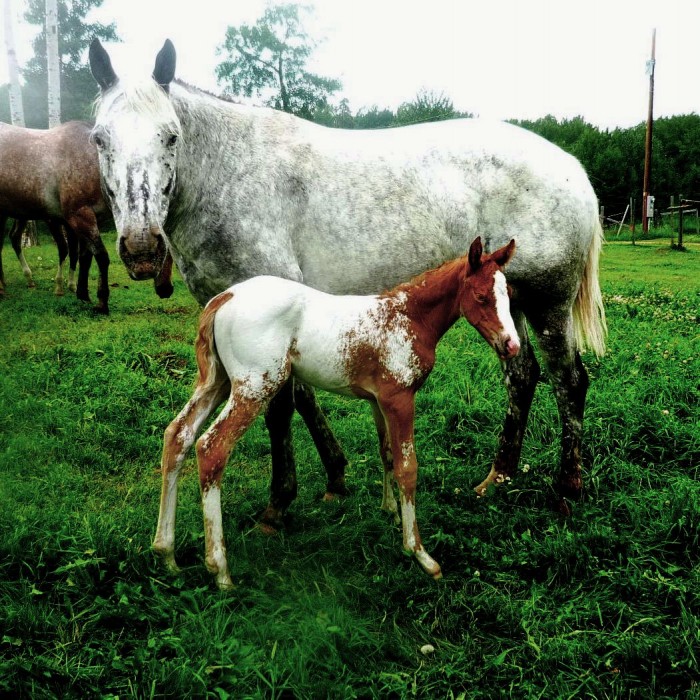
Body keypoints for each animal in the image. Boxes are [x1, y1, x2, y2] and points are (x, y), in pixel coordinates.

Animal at [0, 120, 175, 311]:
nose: (166, 289)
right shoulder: (79, 216)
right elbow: (101, 257)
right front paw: (102, 301)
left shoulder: (90, 220)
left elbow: (85, 257)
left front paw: (82, 294)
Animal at [89, 39, 606, 527]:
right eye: (98, 139)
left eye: (170, 136)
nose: (141, 247)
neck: (228, 173)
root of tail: (573, 170)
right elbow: (301, 395)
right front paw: (335, 476)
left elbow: (281, 407)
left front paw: (280, 501)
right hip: (505, 301)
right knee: (522, 376)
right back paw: (499, 477)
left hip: (547, 303)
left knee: (569, 381)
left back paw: (566, 488)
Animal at [156, 237, 519, 588]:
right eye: (481, 296)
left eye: (510, 295)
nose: (512, 345)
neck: (408, 316)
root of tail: (224, 297)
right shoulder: (399, 398)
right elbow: (408, 468)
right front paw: (419, 553)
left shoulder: (378, 401)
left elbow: (387, 453)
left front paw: (390, 511)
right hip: (254, 387)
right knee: (211, 447)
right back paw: (220, 570)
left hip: (215, 382)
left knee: (178, 435)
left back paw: (167, 553)